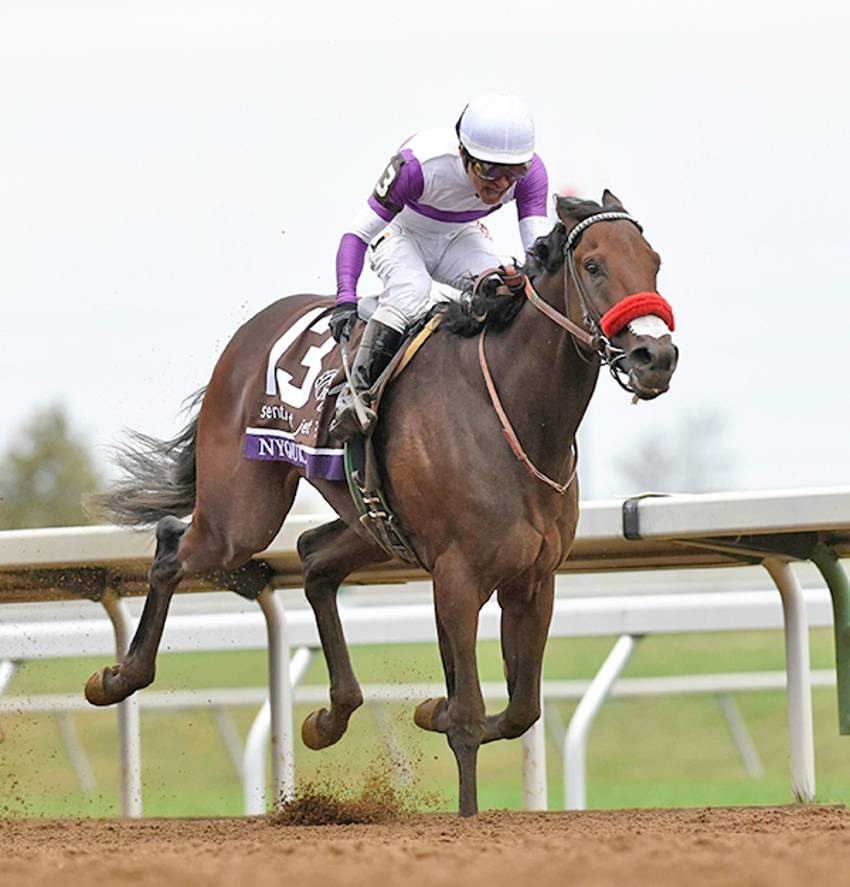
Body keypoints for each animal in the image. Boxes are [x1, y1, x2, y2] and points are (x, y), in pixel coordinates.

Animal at [86, 191, 680, 816]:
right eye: (593, 265)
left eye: (654, 262)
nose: (655, 356)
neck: (518, 416)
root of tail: (252, 329)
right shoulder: (457, 576)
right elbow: (469, 716)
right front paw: (466, 805)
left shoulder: (534, 579)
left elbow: (521, 709)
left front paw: (430, 709)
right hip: (241, 518)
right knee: (173, 548)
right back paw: (118, 678)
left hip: (373, 524)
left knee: (313, 557)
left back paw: (329, 716)